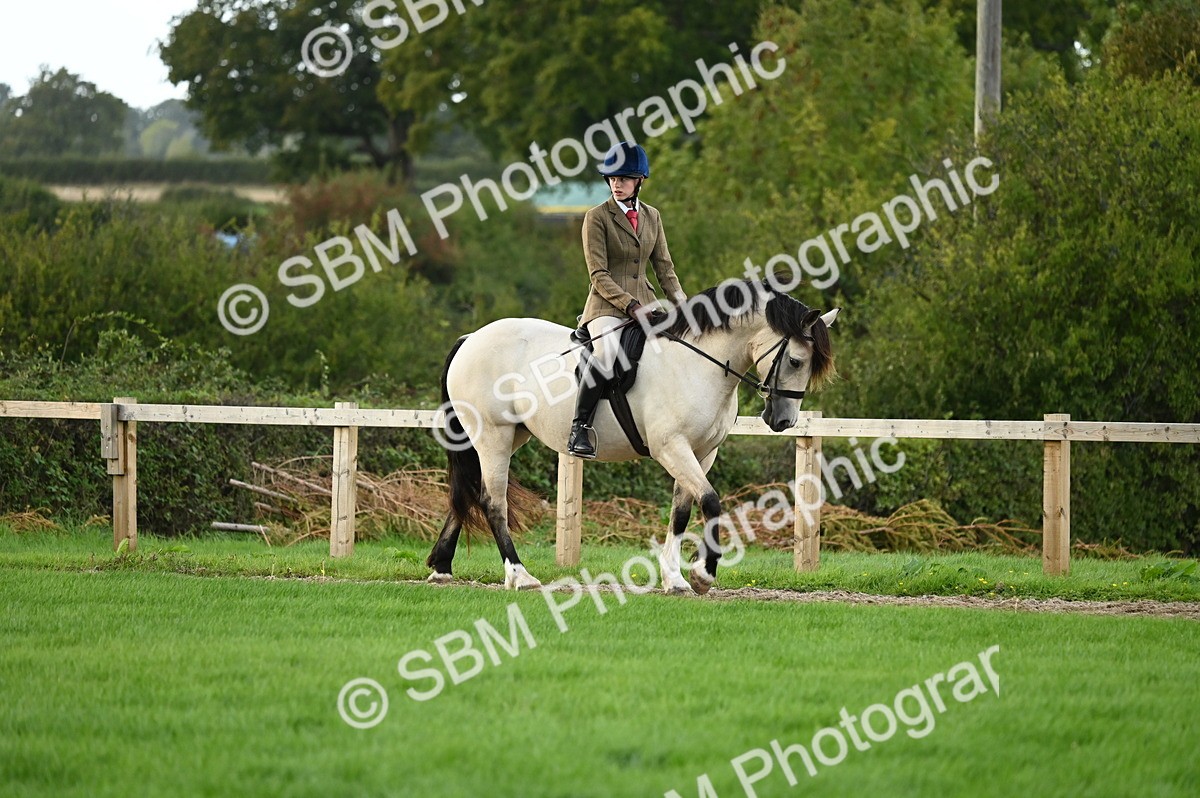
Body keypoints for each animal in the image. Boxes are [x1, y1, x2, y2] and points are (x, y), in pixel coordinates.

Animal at [426, 278, 838, 593]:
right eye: (796, 360)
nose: (783, 420)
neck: (697, 363)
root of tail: (471, 337)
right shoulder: (671, 447)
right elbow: (710, 501)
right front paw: (703, 573)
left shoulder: (702, 452)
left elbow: (682, 511)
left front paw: (675, 579)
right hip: (492, 435)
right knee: (492, 501)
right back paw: (519, 575)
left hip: (512, 435)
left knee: (468, 492)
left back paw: (442, 567)